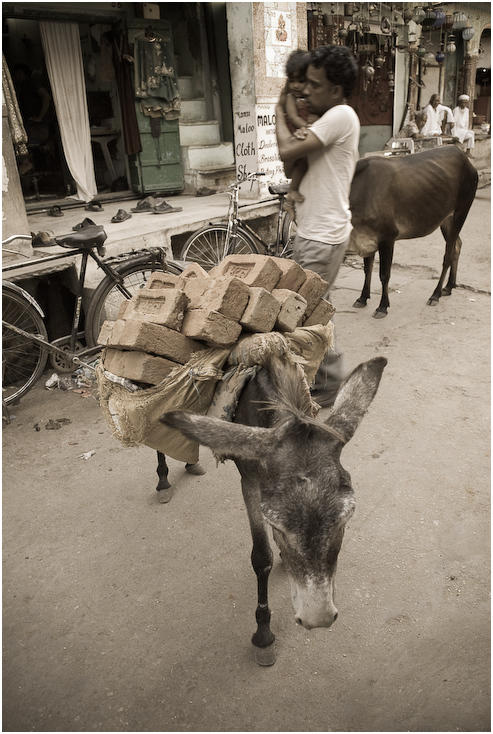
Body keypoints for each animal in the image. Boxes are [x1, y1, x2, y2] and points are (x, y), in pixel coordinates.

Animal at [348, 147, 478, 320]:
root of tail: (463, 155)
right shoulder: (367, 238)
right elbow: (367, 269)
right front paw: (362, 298)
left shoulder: (387, 237)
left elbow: (384, 275)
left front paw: (382, 306)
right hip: (446, 219)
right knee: (457, 245)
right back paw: (449, 287)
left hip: (461, 211)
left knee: (448, 255)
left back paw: (435, 294)